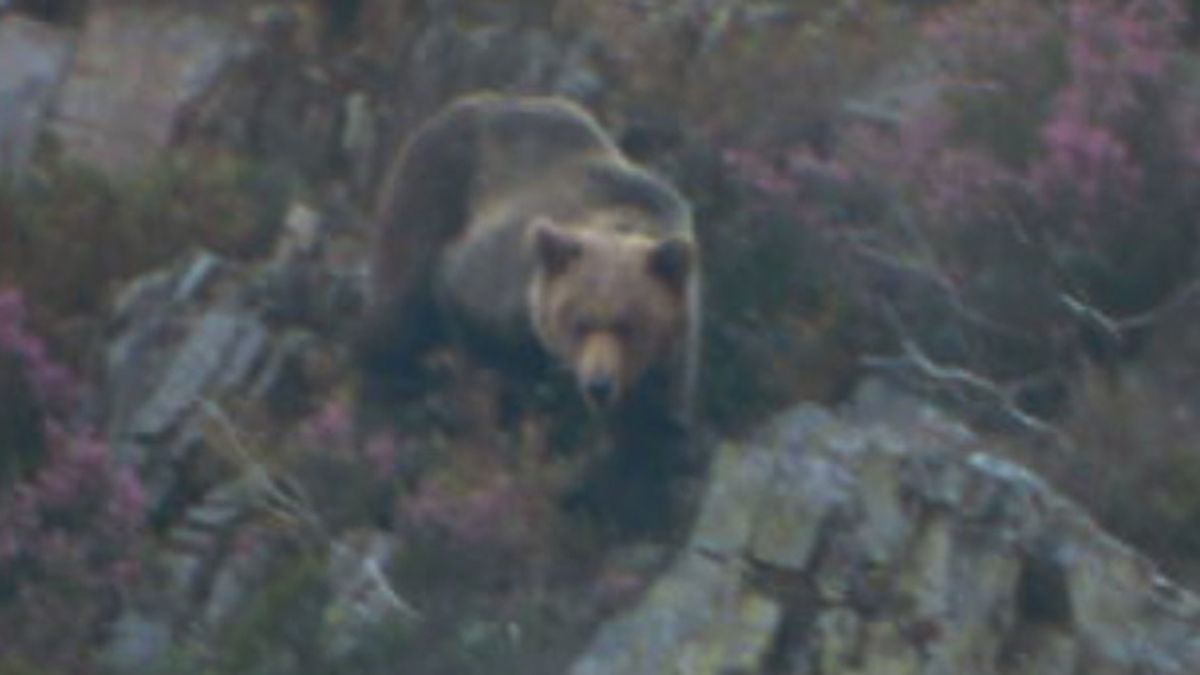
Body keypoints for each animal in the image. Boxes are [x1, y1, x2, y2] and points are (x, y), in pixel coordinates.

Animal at [355, 90, 700, 526]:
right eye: (579, 321)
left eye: (630, 325)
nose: (599, 385)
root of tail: (463, 103)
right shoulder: (499, 282)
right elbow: (467, 317)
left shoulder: (670, 360)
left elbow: (653, 437)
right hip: (427, 192)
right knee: (395, 315)